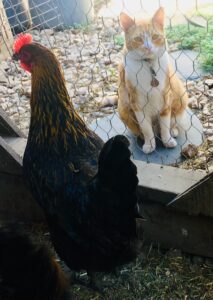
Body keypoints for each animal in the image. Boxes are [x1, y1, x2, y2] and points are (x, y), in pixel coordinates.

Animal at [118, 8, 201, 154]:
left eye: (155, 37)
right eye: (138, 39)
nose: (148, 47)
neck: (149, 65)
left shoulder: (165, 100)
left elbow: (165, 124)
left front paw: (167, 140)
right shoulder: (137, 104)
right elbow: (146, 128)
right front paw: (149, 144)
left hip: (181, 98)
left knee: (171, 123)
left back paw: (172, 131)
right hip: (122, 107)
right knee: (142, 129)